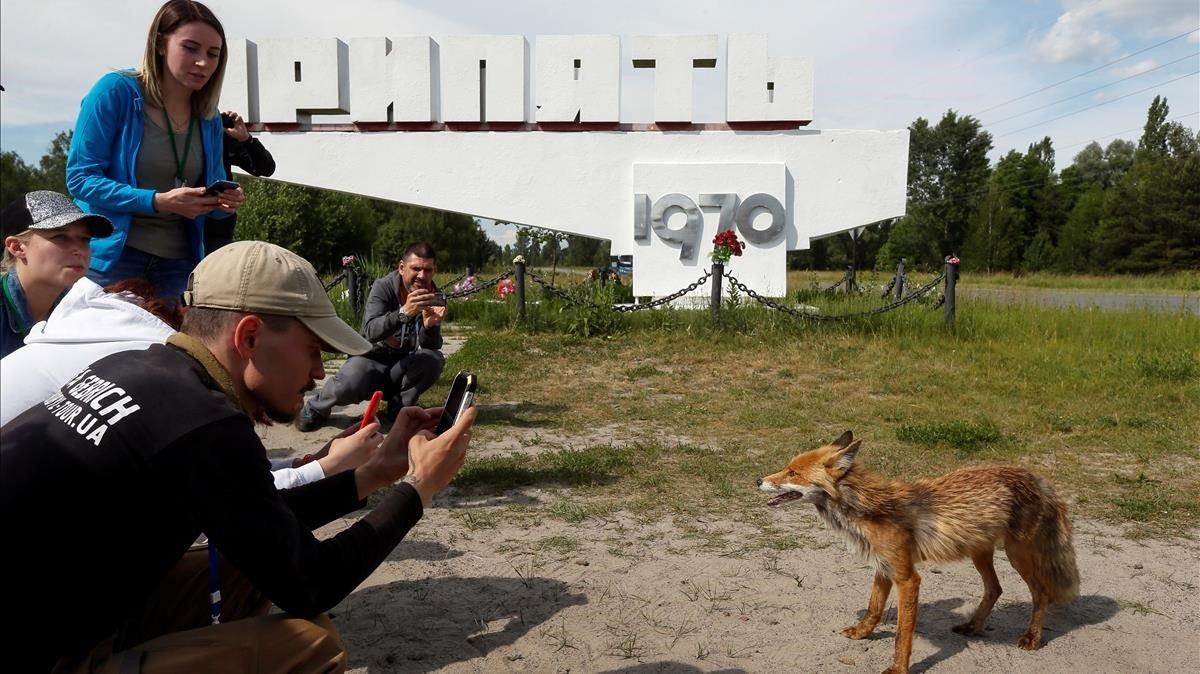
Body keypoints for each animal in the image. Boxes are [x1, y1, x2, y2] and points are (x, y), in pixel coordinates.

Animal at [758, 429, 1080, 671]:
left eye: (793, 472)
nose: (757, 480)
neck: (870, 510)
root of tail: (1036, 476)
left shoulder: (907, 578)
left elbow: (902, 635)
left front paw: (898, 669)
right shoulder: (884, 567)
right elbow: (874, 608)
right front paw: (862, 634)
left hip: (1017, 555)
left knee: (1041, 593)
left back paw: (1032, 637)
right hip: (979, 553)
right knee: (995, 589)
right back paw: (973, 627)